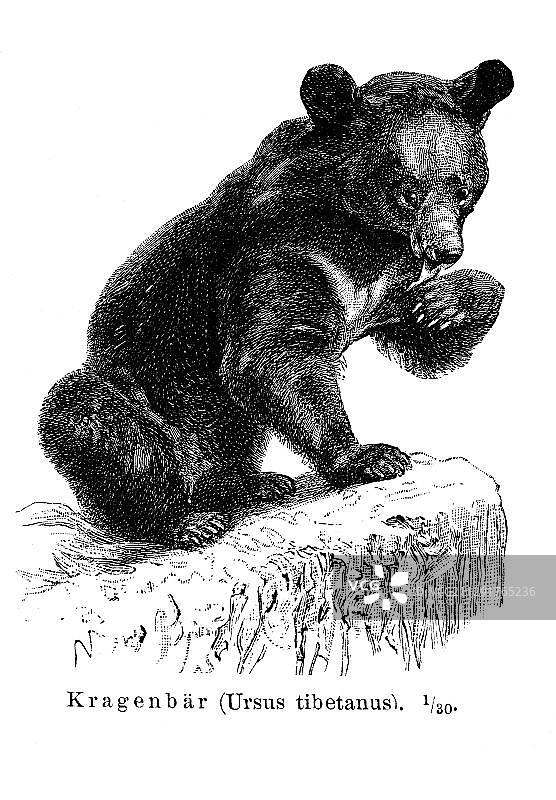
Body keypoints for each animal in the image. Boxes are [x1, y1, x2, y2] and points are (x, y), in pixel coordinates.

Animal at [38, 59, 513, 547]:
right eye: (408, 190)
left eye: (463, 189)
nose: (445, 250)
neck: (360, 232)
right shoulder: (275, 254)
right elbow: (273, 357)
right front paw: (369, 456)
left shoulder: (387, 277)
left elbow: (419, 338)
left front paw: (446, 305)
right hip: (151, 401)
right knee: (102, 423)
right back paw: (187, 521)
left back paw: (257, 484)